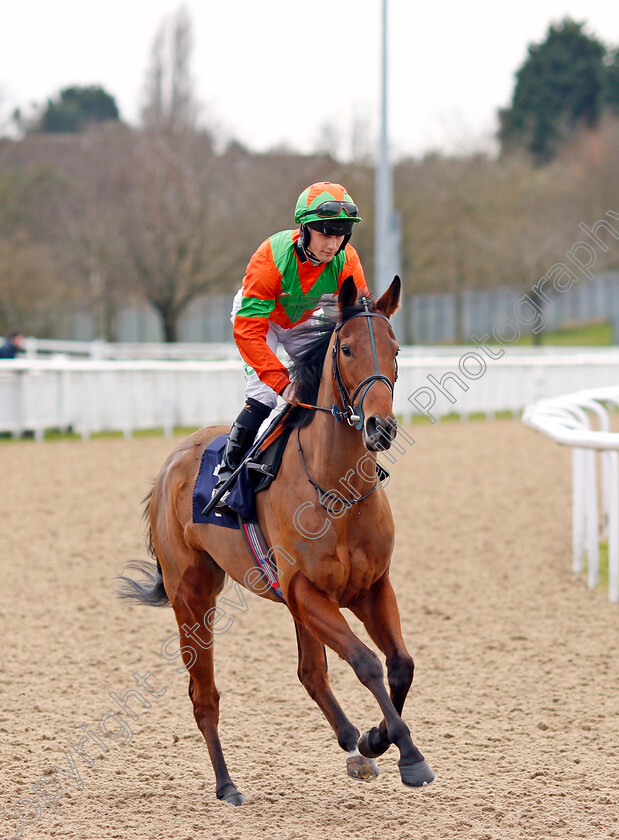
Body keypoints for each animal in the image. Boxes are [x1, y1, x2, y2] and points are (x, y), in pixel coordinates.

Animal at [117, 278, 436, 808]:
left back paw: (353, 744)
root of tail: (169, 466)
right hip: (193, 595)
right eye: (346, 348)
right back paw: (227, 785)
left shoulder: (369, 587)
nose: (380, 427)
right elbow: (367, 663)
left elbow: (400, 665)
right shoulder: (308, 589)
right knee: (204, 695)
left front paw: (375, 738)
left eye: (395, 350)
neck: (337, 490)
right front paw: (407, 755)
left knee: (311, 673)